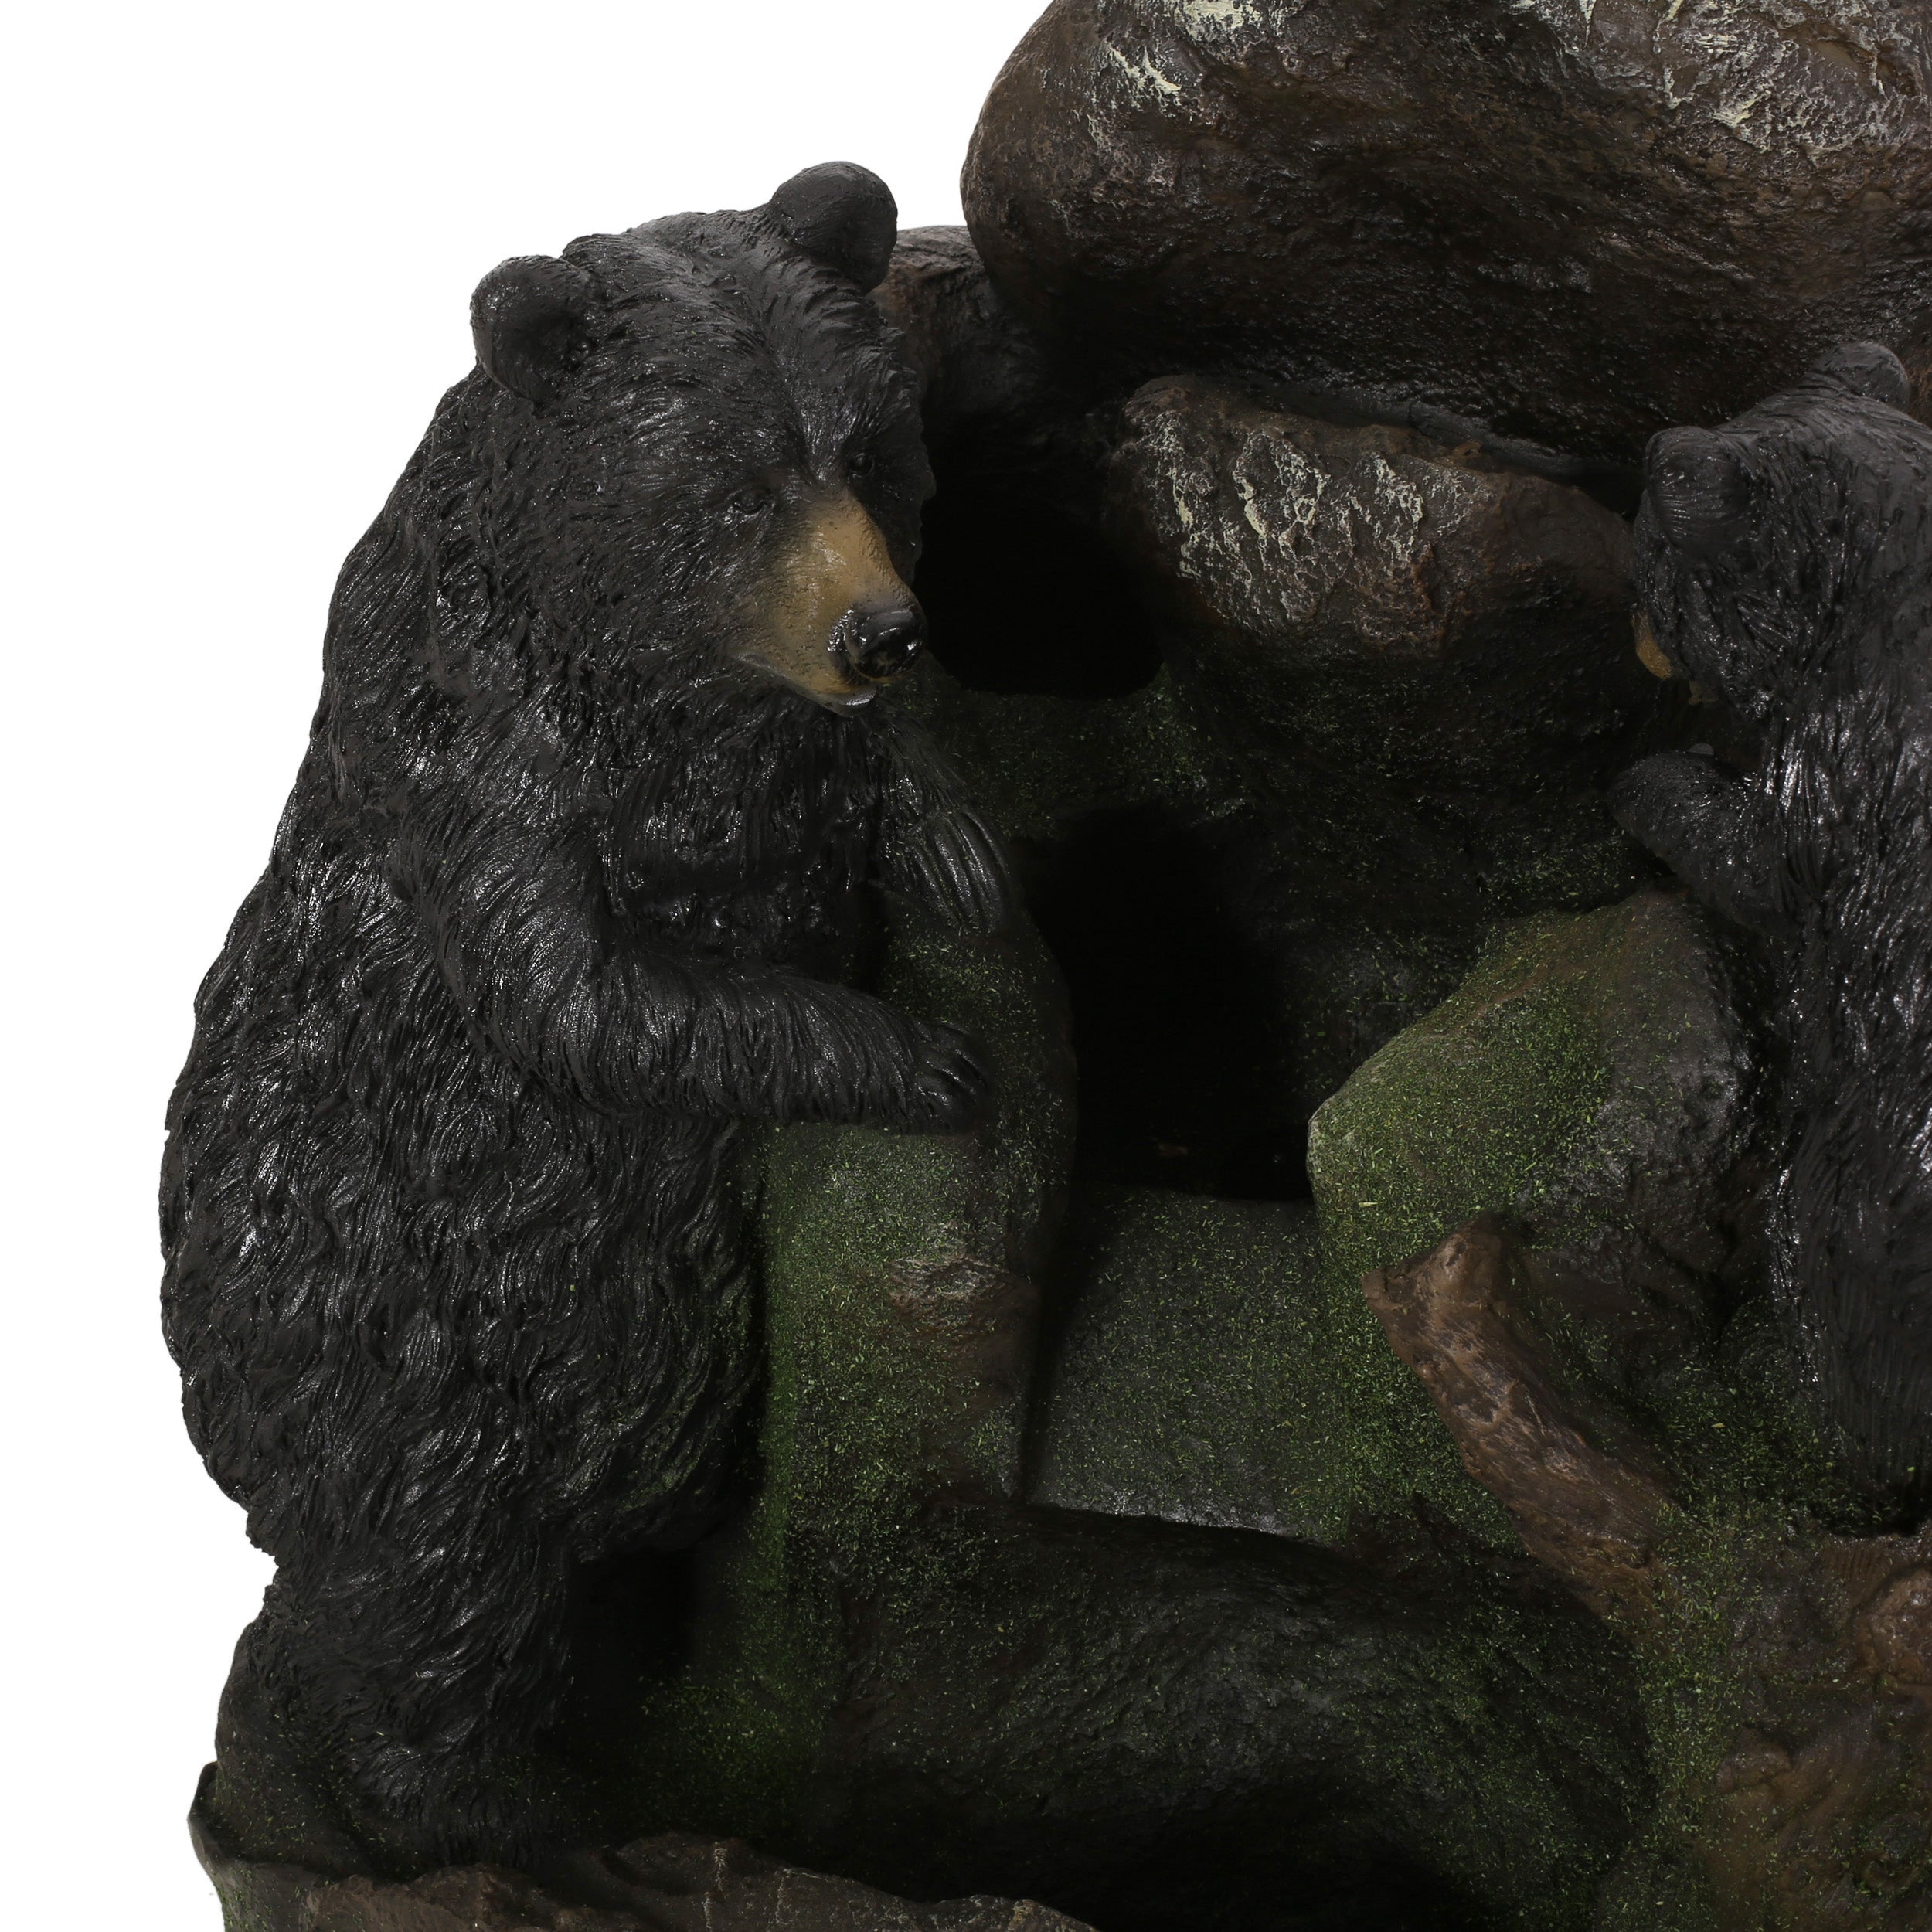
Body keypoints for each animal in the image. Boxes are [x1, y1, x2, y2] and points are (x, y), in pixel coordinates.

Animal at [160, 161, 1013, 1878]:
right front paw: (917, 1049)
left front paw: (957, 838)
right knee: (442, 1596)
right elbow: (579, 996)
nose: (881, 630)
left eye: (866, 449)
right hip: (413, 1360)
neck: (662, 670)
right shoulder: (475, 740)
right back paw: (525, 1829)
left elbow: (889, 783)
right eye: (733, 485)